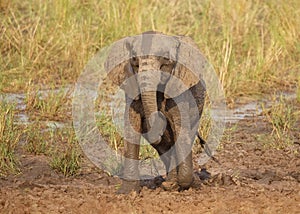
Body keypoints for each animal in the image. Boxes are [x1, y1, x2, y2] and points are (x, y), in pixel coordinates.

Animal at [105, 31, 206, 194]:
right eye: (134, 59)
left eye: (166, 60)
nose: (160, 119)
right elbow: (132, 127)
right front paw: (127, 193)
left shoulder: (179, 89)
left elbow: (181, 129)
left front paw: (185, 184)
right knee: (164, 147)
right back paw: (170, 184)